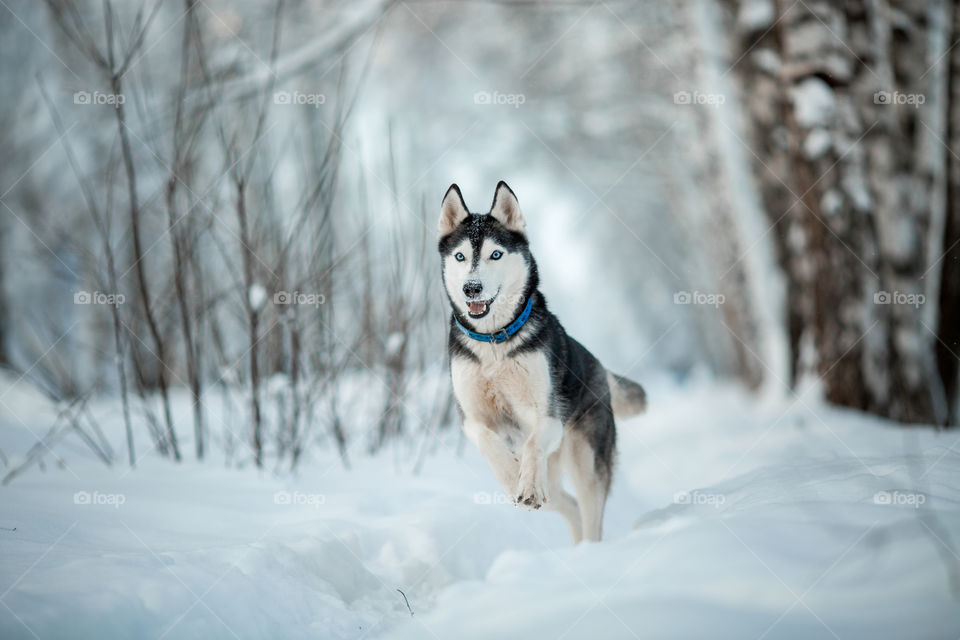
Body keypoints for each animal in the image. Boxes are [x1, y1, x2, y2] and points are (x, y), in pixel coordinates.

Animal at [438, 181, 648, 544]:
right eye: (460, 256)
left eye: (495, 254)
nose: (471, 288)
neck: (495, 343)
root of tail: (599, 367)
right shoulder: (471, 418)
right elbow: (489, 442)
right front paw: (512, 478)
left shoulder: (548, 416)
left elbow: (534, 441)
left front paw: (525, 483)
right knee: (569, 506)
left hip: (585, 459)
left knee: (590, 512)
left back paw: (590, 548)